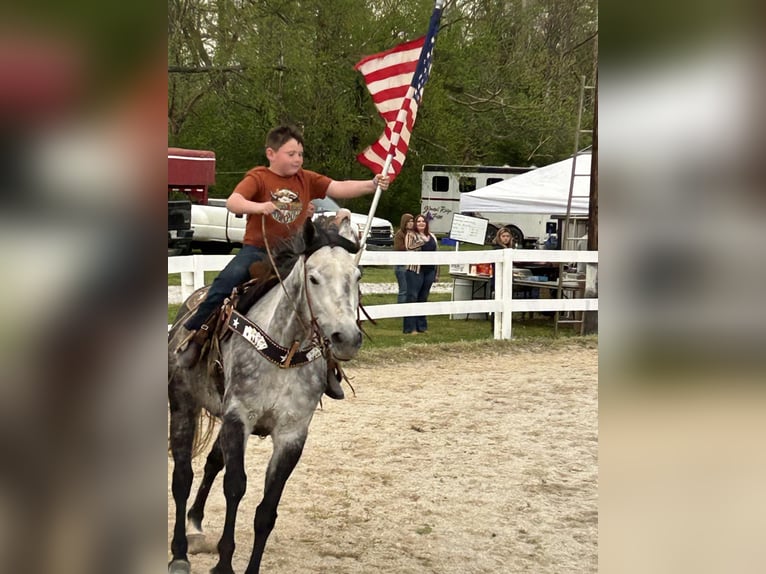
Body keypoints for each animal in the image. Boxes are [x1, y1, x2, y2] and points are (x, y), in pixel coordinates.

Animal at [167, 217, 364, 574]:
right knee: (182, 477)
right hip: (183, 405)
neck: (285, 351)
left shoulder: (292, 435)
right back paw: (179, 554)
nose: (347, 338)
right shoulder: (238, 419)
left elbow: (267, 509)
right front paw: (224, 563)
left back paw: (195, 521)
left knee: (212, 463)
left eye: (357, 276)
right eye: (313, 277)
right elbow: (235, 487)